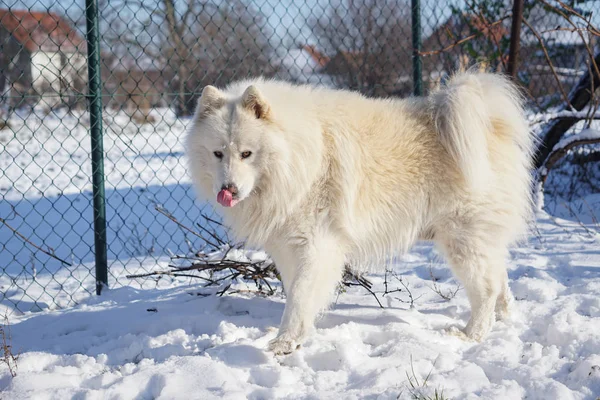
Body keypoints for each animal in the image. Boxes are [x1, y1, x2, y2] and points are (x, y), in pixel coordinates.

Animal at [186, 70, 536, 354]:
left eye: (247, 153)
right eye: (218, 153)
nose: (228, 190)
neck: (299, 157)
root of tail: (489, 124)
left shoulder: (318, 245)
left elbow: (300, 294)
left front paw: (286, 342)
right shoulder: (286, 246)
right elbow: (296, 292)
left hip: (462, 240)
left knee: (486, 289)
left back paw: (470, 334)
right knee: (499, 279)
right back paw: (504, 317)